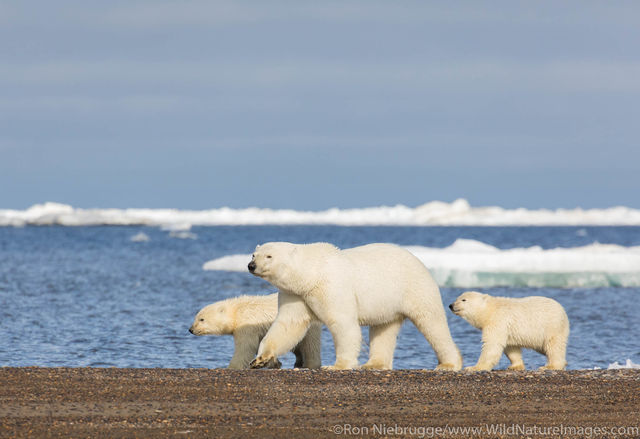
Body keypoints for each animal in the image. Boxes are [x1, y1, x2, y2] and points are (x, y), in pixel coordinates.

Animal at [188, 294, 322, 370]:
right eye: (196, 317)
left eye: (201, 319)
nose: (191, 329)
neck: (237, 311)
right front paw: (273, 363)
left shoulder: (246, 324)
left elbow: (245, 347)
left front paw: (232, 367)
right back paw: (298, 362)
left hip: (306, 324)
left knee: (309, 344)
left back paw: (310, 364)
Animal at [245, 242, 460, 370]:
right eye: (254, 254)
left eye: (269, 256)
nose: (251, 265)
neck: (311, 274)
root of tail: (419, 261)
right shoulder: (296, 294)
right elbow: (288, 324)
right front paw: (259, 359)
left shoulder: (331, 287)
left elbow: (342, 323)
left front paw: (337, 366)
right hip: (387, 302)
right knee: (383, 329)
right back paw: (373, 364)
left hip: (414, 287)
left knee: (432, 322)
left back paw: (448, 364)